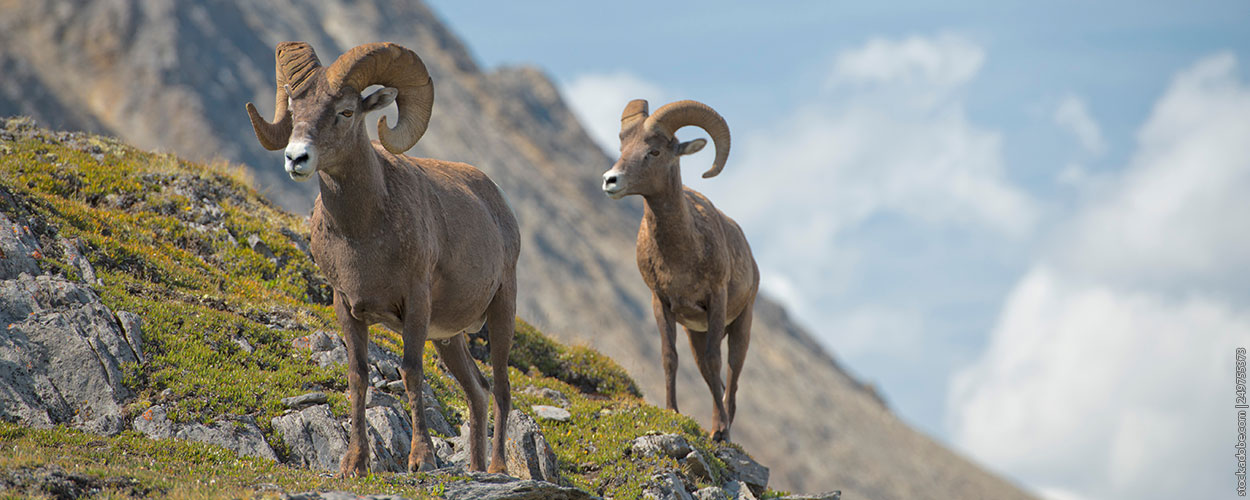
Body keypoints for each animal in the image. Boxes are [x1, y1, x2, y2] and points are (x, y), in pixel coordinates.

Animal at [243, 41, 517, 477]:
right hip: (449, 338)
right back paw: (475, 468)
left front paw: (421, 460)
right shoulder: (347, 307)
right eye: (295, 109)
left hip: (502, 310)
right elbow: (358, 377)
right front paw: (354, 464)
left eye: (345, 112)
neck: (363, 232)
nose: (296, 158)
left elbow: (411, 372)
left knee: (503, 389)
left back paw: (497, 470)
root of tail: (498, 202)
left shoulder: (415, 304)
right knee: (478, 390)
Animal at [600, 98, 755, 442]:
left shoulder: (716, 300)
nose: (610, 180)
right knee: (711, 375)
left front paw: (720, 431)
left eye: (654, 151)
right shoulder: (662, 303)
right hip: (695, 332)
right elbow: (669, 357)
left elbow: (715, 360)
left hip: (741, 325)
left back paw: (724, 428)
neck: (682, 253)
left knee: (731, 377)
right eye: (623, 146)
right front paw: (672, 411)